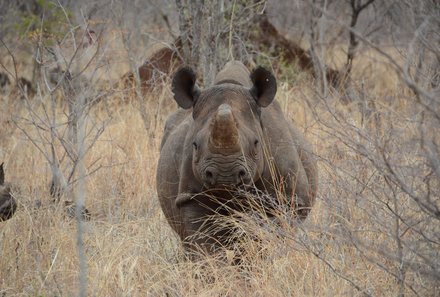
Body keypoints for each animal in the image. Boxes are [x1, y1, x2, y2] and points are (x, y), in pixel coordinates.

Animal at [156, 61, 318, 253]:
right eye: (194, 145)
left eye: (256, 144)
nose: (224, 175)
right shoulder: (191, 197)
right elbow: (206, 244)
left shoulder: (289, 200)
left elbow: (269, 236)